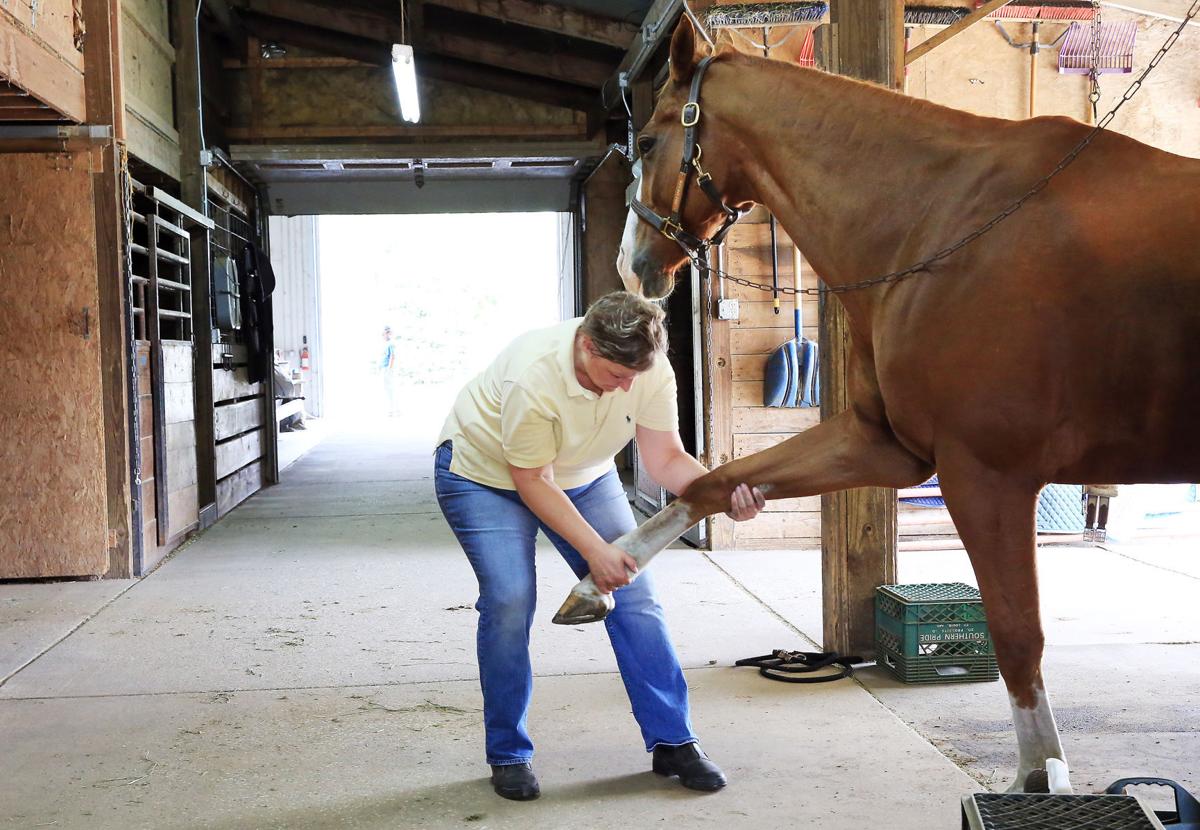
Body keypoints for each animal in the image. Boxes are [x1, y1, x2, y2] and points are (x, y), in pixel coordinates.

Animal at [554, 17, 1200, 794]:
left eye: (649, 141)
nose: (632, 266)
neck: (943, 222)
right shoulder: (884, 446)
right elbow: (713, 483)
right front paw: (594, 583)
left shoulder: (985, 475)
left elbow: (1018, 636)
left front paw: (1037, 777)